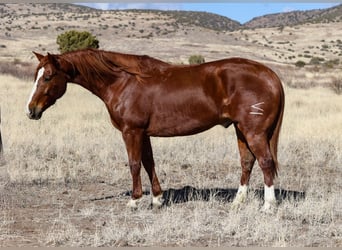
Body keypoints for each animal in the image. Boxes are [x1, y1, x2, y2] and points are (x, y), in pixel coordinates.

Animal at [26, 48, 284, 211]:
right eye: (36, 75)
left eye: (48, 76)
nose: (31, 110)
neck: (123, 82)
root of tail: (270, 75)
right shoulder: (144, 134)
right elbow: (149, 163)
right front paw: (157, 199)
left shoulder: (131, 132)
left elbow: (134, 164)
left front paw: (134, 201)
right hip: (241, 131)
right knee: (247, 162)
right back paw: (238, 202)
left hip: (254, 133)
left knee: (265, 162)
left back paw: (268, 206)